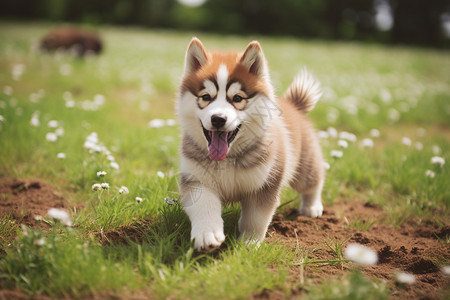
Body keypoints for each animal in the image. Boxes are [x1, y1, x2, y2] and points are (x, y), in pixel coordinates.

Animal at [176, 39, 324, 251]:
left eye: (237, 98)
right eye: (206, 97)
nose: (218, 119)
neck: (227, 159)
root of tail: (293, 105)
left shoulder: (265, 183)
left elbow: (256, 217)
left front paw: (249, 242)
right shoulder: (196, 180)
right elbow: (204, 207)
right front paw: (207, 235)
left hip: (304, 166)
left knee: (314, 181)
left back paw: (312, 207)